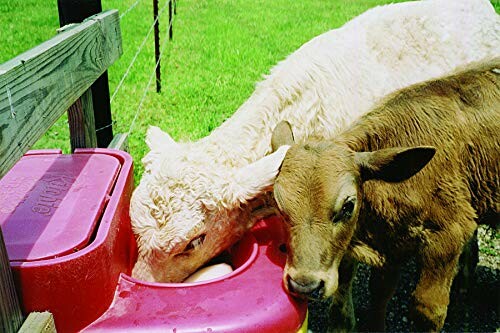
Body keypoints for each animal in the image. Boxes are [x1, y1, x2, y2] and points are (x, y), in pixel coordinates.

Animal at [274, 58, 500, 330]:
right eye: (279, 206)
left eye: (348, 206)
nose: (304, 285)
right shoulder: (391, 244)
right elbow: (380, 292)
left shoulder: (448, 235)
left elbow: (428, 310)